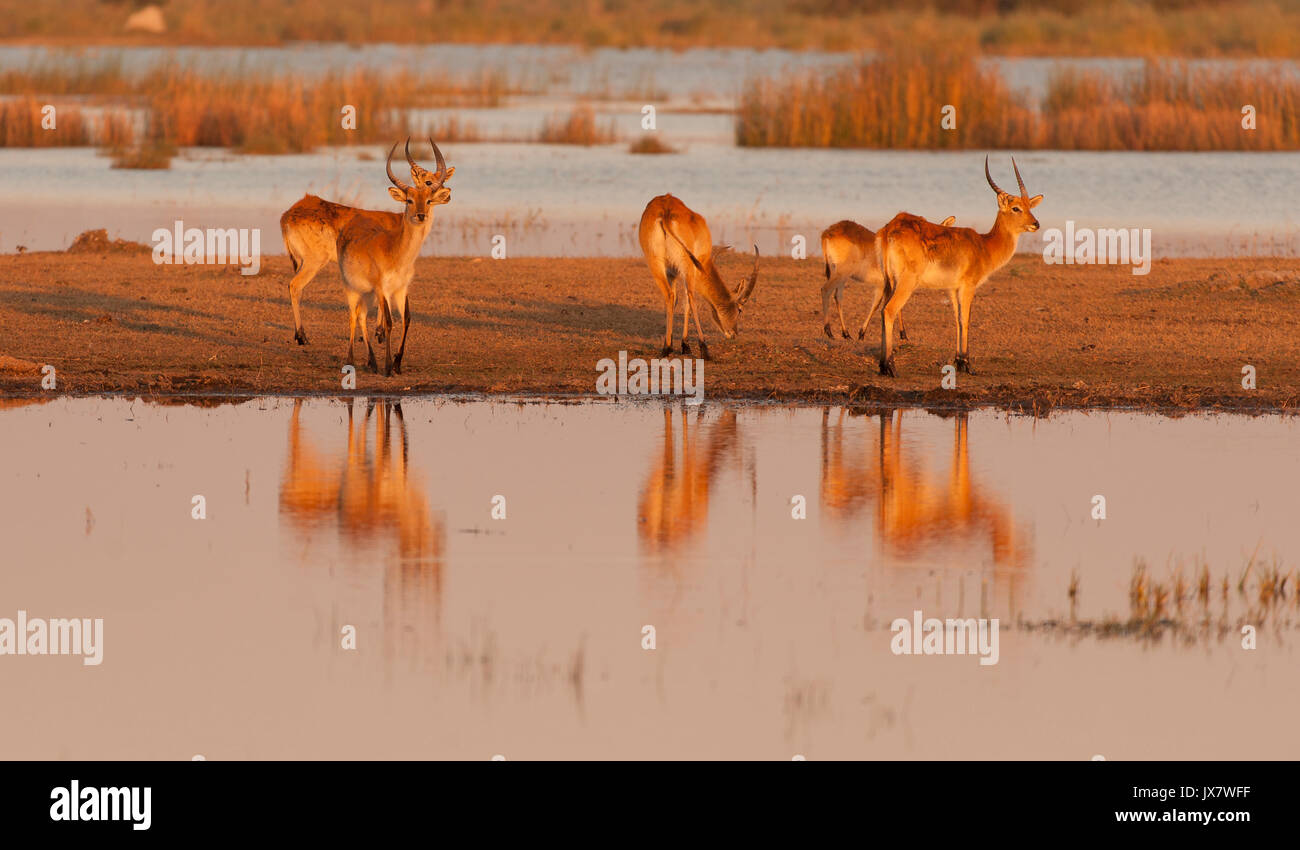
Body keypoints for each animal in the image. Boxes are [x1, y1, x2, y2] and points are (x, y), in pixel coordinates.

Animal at [279, 141, 452, 348]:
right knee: (294, 286)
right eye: (427, 181)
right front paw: (379, 333)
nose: (447, 196)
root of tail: (289, 213)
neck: (399, 224)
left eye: (439, 180)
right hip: (314, 262)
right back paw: (302, 337)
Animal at [335, 139, 452, 376]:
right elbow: (389, 322)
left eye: (428, 200)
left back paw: (372, 362)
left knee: (361, 316)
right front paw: (389, 366)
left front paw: (397, 364)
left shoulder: (400, 289)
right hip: (351, 288)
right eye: (409, 200)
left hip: (366, 293)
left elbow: (406, 318)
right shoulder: (382, 289)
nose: (420, 216)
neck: (396, 253)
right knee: (353, 316)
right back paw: (351, 360)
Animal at [639, 194, 759, 361]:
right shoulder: (693, 269)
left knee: (669, 295)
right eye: (740, 310)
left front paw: (671, 343)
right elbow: (686, 303)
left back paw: (666, 348)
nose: (734, 334)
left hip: (655, 263)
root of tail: (666, 211)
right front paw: (686, 345)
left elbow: (675, 300)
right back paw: (704, 349)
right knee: (691, 298)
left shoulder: (672, 273)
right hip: (687, 266)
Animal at [821, 213, 956, 343]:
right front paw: (903, 335)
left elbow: (878, 305)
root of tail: (827, 232)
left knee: (838, 297)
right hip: (841, 273)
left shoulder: (883, 285)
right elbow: (889, 306)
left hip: (840, 275)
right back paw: (829, 332)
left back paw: (846, 334)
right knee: (825, 290)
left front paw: (862, 333)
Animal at [873, 156, 1045, 376]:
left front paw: (959, 360)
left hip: (888, 281)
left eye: (1029, 206)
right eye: (1016, 208)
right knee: (889, 310)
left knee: (881, 310)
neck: (984, 245)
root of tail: (890, 228)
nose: (1036, 224)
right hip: (906, 282)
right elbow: (966, 319)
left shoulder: (952, 289)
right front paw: (967, 363)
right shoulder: (968, 286)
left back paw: (882, 366)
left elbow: (956, 319)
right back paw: (891, 367)